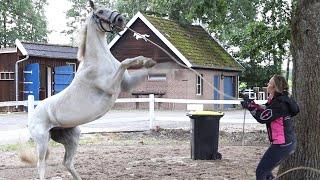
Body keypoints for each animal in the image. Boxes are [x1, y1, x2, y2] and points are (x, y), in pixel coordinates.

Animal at [23, 0, 155, 179]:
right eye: (100, 11)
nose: (121, 20)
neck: (99, 60)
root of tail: (32, 116)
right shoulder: (110, 86)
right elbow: (125, 62)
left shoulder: (126, 84)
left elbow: (138, 66)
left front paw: (150, 62)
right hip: (42, 141)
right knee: (41, 165)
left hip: (72, 137)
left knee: (67, 162)